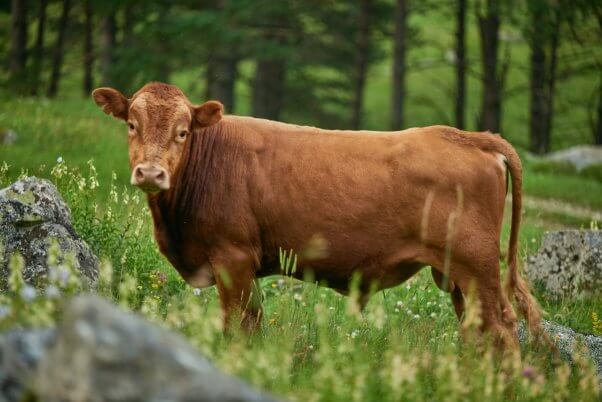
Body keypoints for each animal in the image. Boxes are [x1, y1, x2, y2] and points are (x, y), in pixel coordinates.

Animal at [91, 82, 540, 348]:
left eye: (183, 131)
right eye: (131, 124)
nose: (151, 173)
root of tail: (468, 136)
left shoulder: (232, 258)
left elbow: (235, 326)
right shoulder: (247, 267)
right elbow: (253, 323)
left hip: (477, 267)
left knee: (502, 328)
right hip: (457, 277)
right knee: (477, 332)